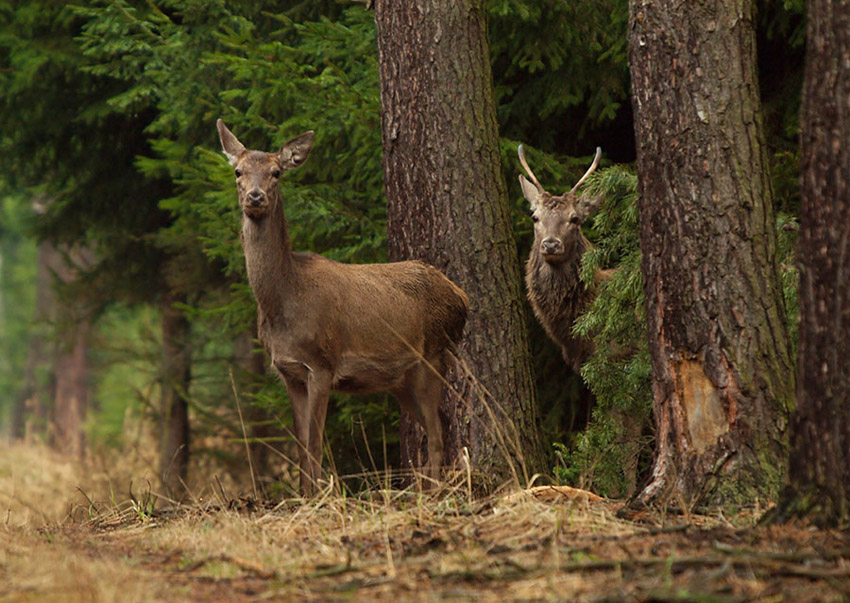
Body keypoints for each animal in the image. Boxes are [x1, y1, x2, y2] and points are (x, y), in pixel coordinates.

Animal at [217, 120, 470, 498]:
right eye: (238, 171)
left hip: (434, 354)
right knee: (441, 424)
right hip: (402, 379)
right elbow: (300, 445)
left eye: (276, 172)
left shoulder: (322, 363)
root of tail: (462, 297)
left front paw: (319, 498)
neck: (284, 302)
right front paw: (303, 498)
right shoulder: (288, 372)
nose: (255, 197)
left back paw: (433, 496)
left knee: (438, 435)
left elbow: (315, 443)